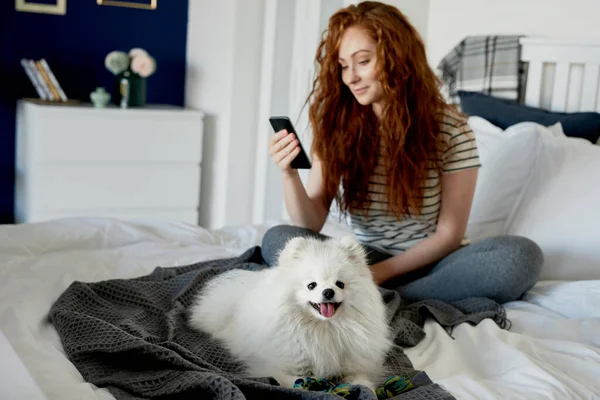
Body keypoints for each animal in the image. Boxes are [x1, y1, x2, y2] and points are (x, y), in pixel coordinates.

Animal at [189, 234, 394, 390]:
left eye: (340, 284)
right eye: (312, 285)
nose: (328, 292)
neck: (323, 329)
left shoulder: (355, 365)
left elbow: (362, 381)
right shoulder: (284, 367)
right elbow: (296, 382)